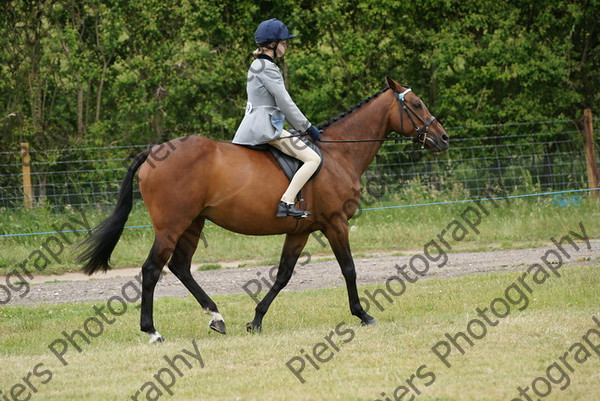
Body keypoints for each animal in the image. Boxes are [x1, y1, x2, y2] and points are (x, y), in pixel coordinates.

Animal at [76, 76, 450, 340]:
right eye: (416, 103)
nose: (444, 138)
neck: (339, 154)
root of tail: (154, 152)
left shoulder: (301, 230)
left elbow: (283, 274)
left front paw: (255, 320)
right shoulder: (335, 223)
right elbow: (349, 269)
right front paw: (363, 314)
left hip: (193, 223)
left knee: (180, 266)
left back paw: (216, 317)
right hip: (171, 226)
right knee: (152, 269)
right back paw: (152, 331)